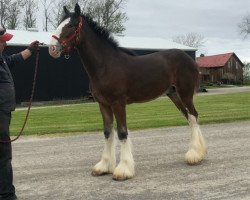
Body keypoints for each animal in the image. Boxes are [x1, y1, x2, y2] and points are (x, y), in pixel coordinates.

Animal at [48, 3, 207, 181]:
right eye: (59, 23)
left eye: (71, 25)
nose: (52, 48)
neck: (105, 65)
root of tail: (189, 59)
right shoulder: (103, 104)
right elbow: (108, 132)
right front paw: (104, 166)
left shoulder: (118, 103)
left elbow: (122, 133)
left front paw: (123, 169)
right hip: (174, 95)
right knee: (190, 118)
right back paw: (197, 153)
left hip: (185, 94)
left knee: (193, 116)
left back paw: (195, 155)